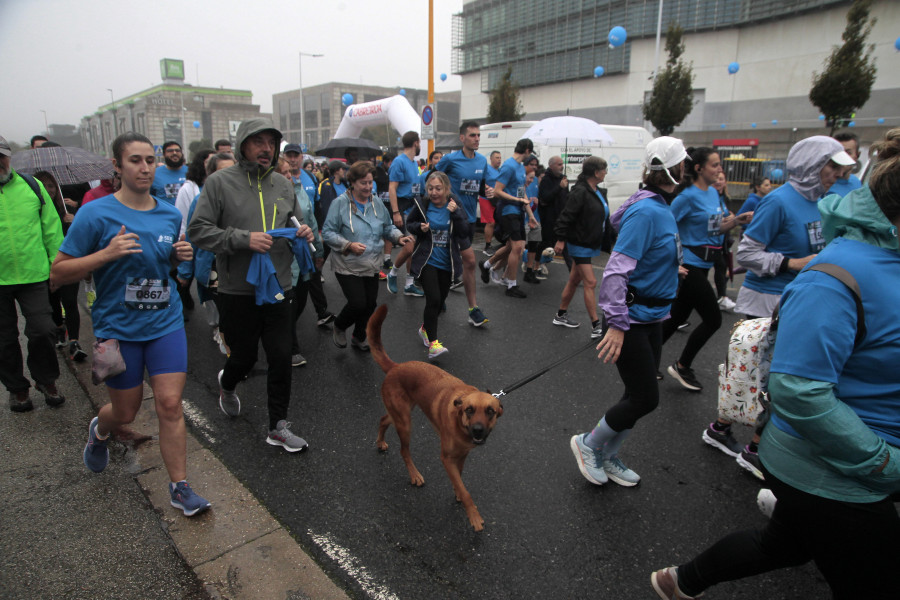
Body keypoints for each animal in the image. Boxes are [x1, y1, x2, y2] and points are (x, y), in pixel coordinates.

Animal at [368, 304, 502, 528]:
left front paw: (457, 492)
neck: (460, 424)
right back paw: (414, 475)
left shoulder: (462, 456)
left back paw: (380, 442)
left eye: (490, 412)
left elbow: (460, 480)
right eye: (469, 410)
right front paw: (474, 517)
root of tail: (396, 367)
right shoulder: (446, 458)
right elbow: (466, 492)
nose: (478, 431)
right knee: (404, 451)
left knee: (383, 419)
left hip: (400, 414)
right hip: (405, 423)